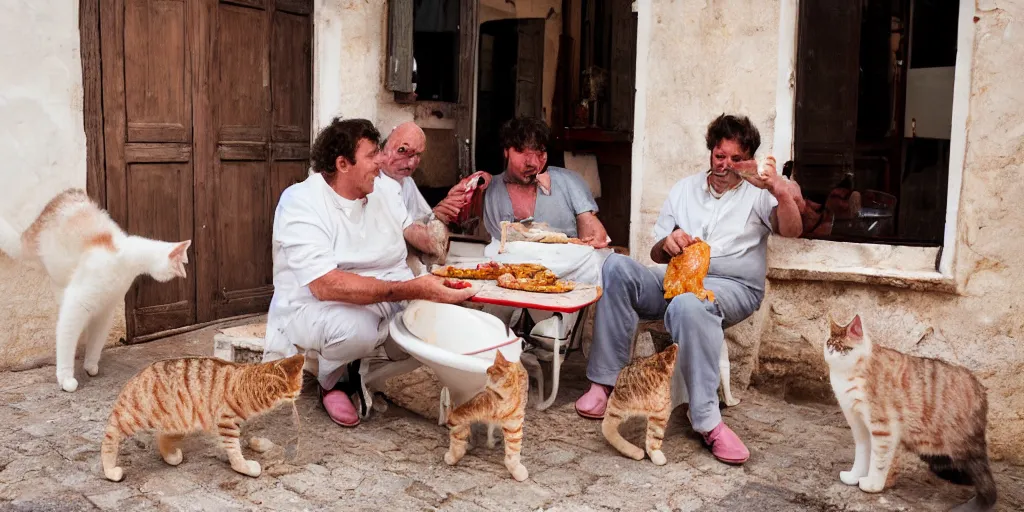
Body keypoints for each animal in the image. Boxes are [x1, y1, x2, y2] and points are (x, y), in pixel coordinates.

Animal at [0, 188, 190, 391]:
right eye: (182, 263)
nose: (186, 274)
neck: (124, 256)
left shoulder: (105, 311)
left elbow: (96, 342)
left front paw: (90, 365)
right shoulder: (77, 303)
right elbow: (66, 337)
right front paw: (66, 378)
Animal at [99, 354, 303, 481]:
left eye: (300, 386)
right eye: (293, 391)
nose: (298, 395)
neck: (251, 384)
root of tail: (137, 377)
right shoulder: (227, 422)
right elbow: (234, 450)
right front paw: (243, 466)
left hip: (179, 422)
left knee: (161, 437)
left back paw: (171, 456)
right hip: (135, 416)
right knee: (110, 435)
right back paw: (110, 470)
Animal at [444, 350, 532, 481]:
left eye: (490, 374)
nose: (484, 387)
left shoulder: (514, 427)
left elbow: (513, 451)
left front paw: (516, 470)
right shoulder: (462, 414)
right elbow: (457, 437)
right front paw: (453, 457)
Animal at [823, 315, 999, 512]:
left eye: (843, 347)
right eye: (829, 343)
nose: (831, 350)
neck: (849, 373)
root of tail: (981, 389)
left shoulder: (882, 428)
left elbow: (878, 461)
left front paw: (873, 485)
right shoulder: (859, 426)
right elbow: (862, 455)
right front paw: (854, 477)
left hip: (962, 444)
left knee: (986, 481)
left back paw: (976, 504)